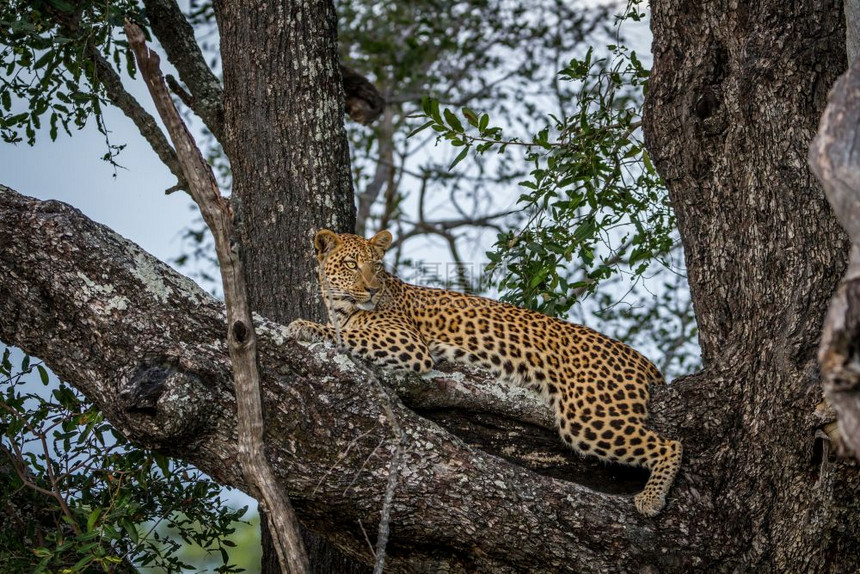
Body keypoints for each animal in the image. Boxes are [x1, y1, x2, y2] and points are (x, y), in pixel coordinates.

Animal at [286, 230, 680, 516]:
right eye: (351, 264)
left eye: (377, 267)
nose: (371, 289)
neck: (340, 307)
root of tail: (641, 359)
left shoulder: (407, 342)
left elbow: (346, 335)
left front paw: (304, 326)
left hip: (589, 416)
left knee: (671, 444)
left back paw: (651, 500)